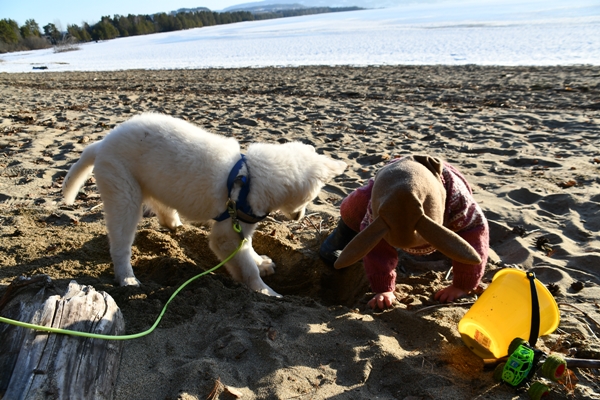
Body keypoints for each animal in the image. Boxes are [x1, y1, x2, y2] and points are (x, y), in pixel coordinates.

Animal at [62, 113, 344, 296]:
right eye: (310, 198)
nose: (299, 218)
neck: (249, 176)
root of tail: (102, 144)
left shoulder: (241, 225)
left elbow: (248, 249)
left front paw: (261, 262)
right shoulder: (227, 234)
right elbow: (244, 266)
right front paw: (264, 291)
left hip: (150, 183)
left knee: (161, 207)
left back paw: (174, 224)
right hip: (124, 192)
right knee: (120, 243)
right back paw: (128, 278)